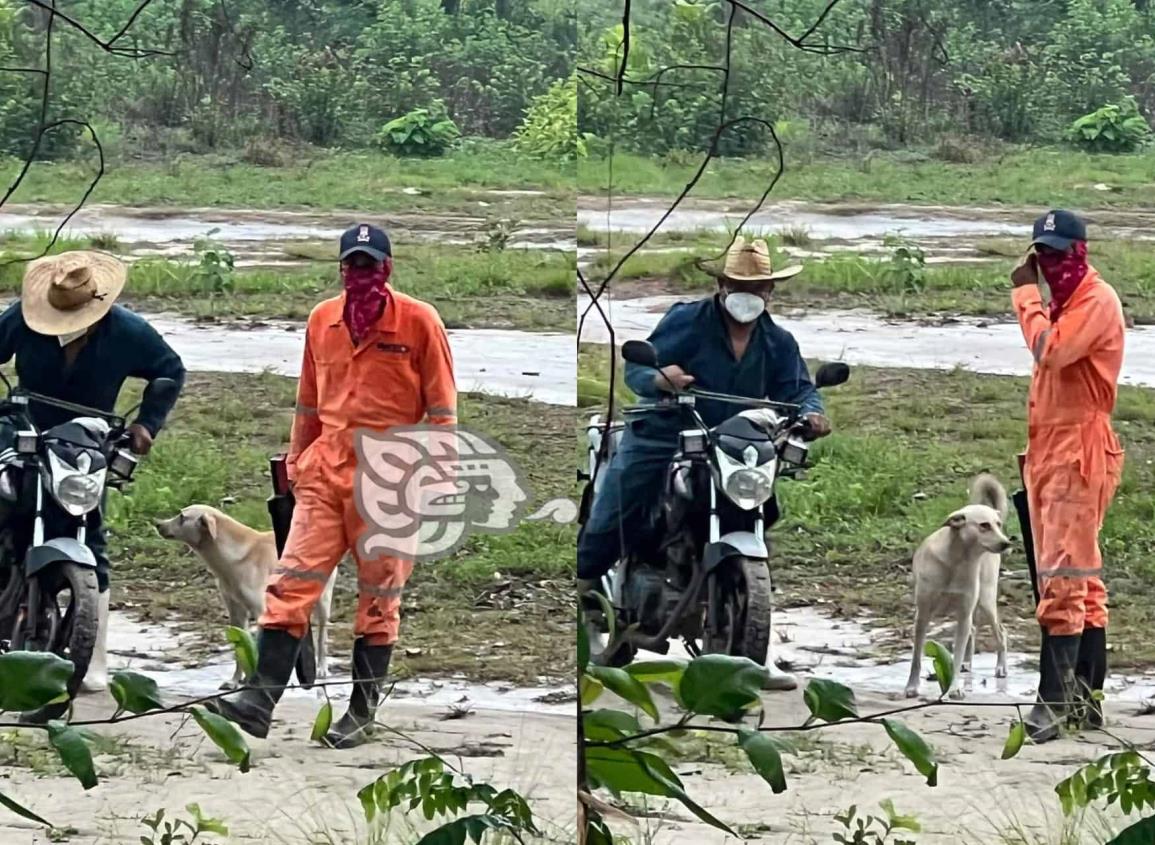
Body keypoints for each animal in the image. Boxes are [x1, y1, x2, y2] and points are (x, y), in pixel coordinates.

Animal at [154, 505, 334, 688]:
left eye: (182, 517)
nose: (158, 524)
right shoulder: (236, 613)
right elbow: (239, 650)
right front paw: (236, 680)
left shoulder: (261, 612)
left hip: (323, 601)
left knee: (322, 635)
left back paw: (321, 668)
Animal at [900, 475, 1011, 701]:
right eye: (984, 525)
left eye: (998, 524)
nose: (1006, 543)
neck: (957, 561)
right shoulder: (922, 615)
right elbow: (916, 657)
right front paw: (912, 687)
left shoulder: (964, 614)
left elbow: (956, 657)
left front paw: (954, 688)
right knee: (975, 630)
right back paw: (969, 664)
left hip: (986, 600)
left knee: (1001, 632)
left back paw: (1000, 667)